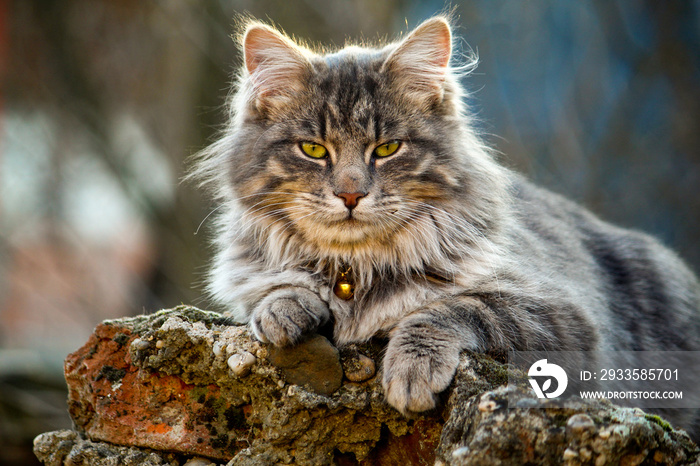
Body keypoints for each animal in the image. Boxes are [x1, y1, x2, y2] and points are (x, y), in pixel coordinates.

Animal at [191, 15, 700, 434]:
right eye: (314, 150)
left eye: (387, 148)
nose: (351, 195)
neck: (357, 271)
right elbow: (279, 287)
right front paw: (283, 310)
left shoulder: (562, 316)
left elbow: (449, 309)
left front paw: (411, 371)